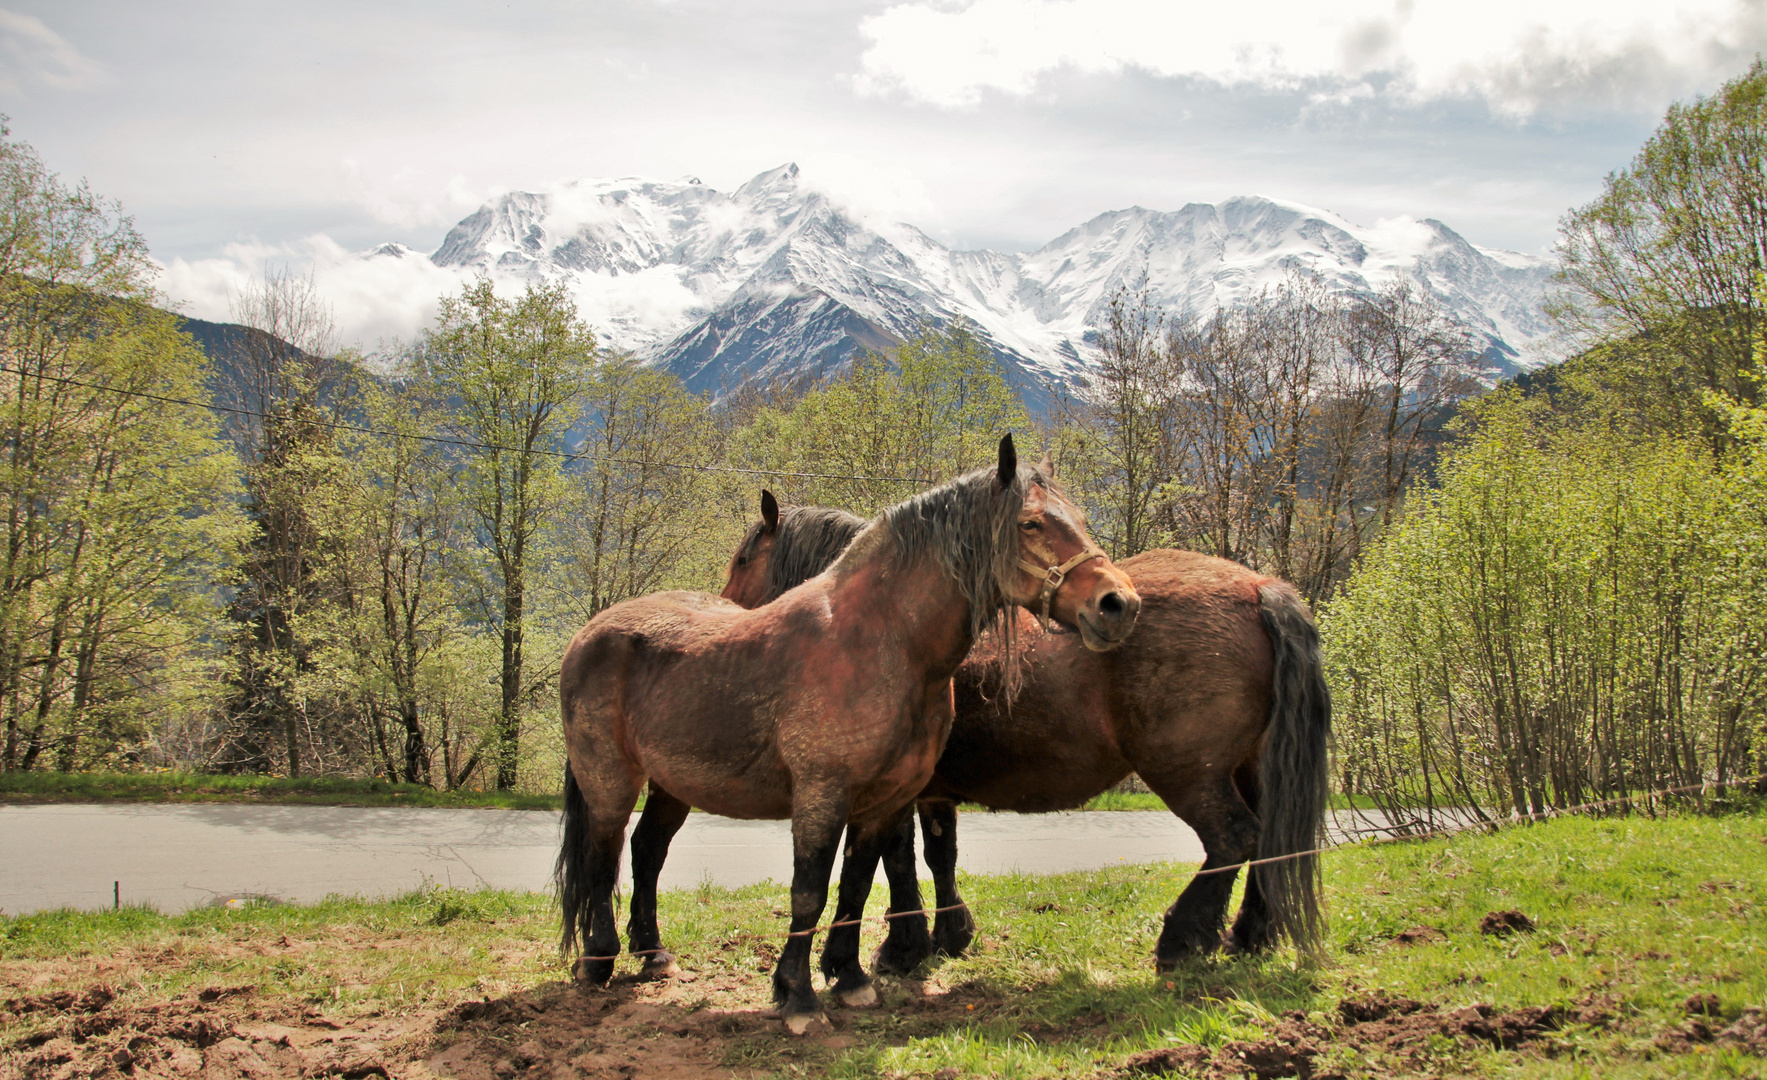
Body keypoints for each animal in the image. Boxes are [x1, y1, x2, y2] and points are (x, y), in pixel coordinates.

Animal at [554, 433, 1145, 1032]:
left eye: (1079, 520)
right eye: (1030, 524)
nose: (1119, 604)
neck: (883, 641)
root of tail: (592, 631)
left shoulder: (885, 800)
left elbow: (859, 882)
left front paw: (852, 977)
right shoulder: (823, 794)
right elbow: (811, 890)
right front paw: (798, 995)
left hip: (673, 785)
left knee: (647, 852)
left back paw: (653, 955)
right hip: (610, 781)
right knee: (603, 858)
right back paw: (597, 961)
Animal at [717, 491, 1328, 982]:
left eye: (743, 559)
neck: (886, 620)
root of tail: (1259, 586)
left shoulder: (895, 791)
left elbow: (898, 860)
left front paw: (902, 947)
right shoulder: (932, 791)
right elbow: (939, 854)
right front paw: (948, 935)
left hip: (1188, 773)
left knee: (1233, 838)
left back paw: (1182, 938)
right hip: (1249, 766)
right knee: (1268, 838)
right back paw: (1249, 934)